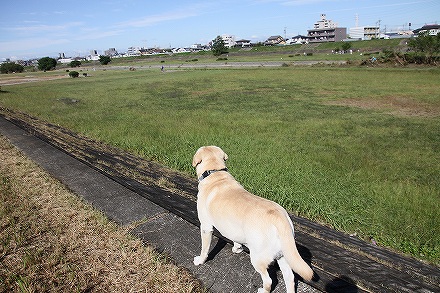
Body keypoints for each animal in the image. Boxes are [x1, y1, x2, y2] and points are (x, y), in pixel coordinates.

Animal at [192, 145, 312, 290]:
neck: (216, 173)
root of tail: (280, 218)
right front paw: (237, 248)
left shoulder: (206, 227)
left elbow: (204, 249)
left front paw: (200, 260)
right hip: (284, 255)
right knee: (290, 277)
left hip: (258, 258)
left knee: (268, 281)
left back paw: (262, 290)